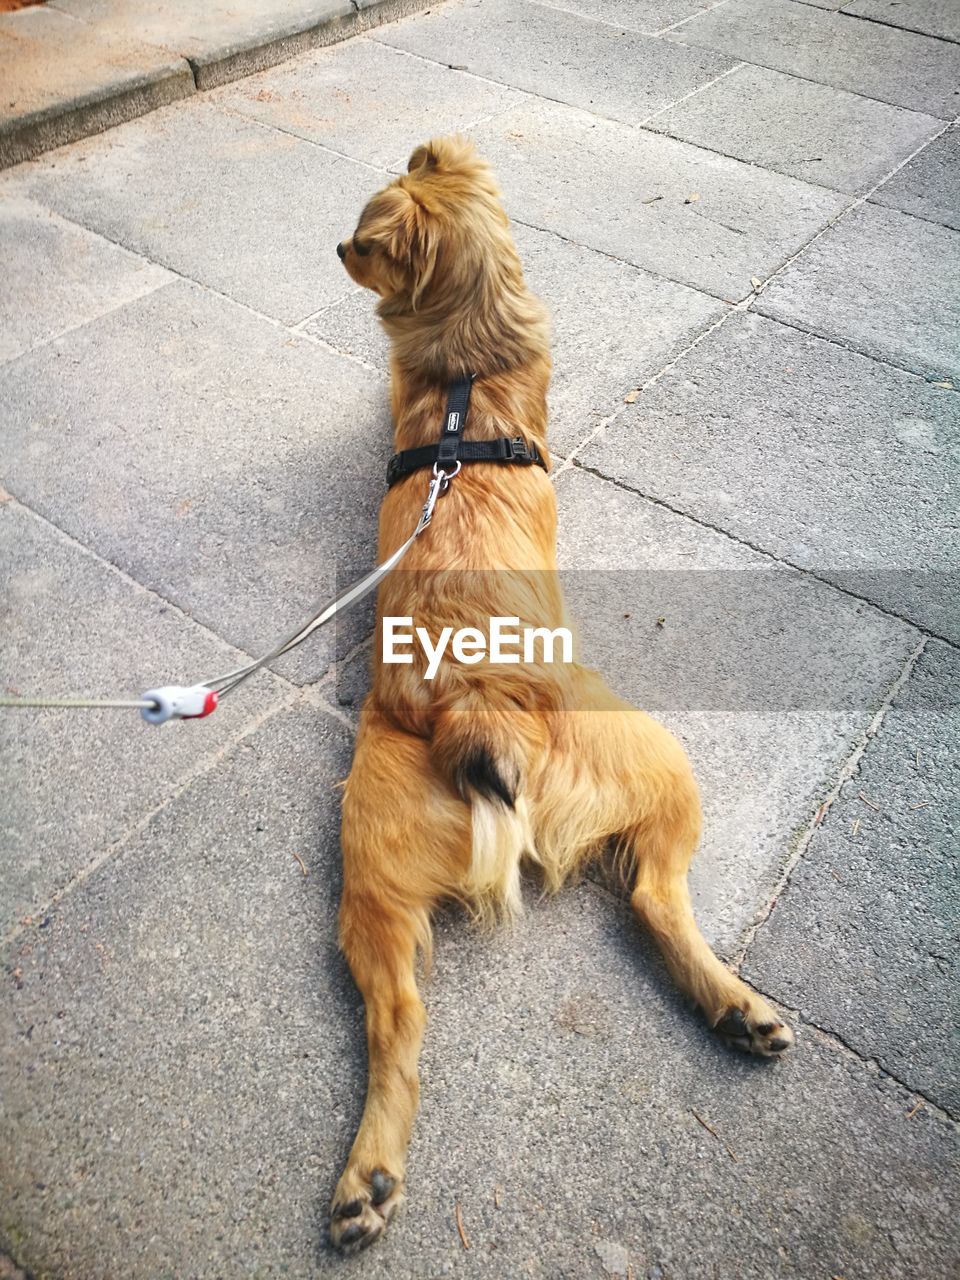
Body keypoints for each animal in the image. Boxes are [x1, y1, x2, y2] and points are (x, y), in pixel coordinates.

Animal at [330, 135, 798, 1254]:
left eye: (362, 240)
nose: (332, 251)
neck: (469, 374)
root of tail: (474, 702)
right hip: (663, 750)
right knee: (655, 893)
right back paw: (736, 1005)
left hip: (371, 872)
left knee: (397, 1019)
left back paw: (368, 1178)